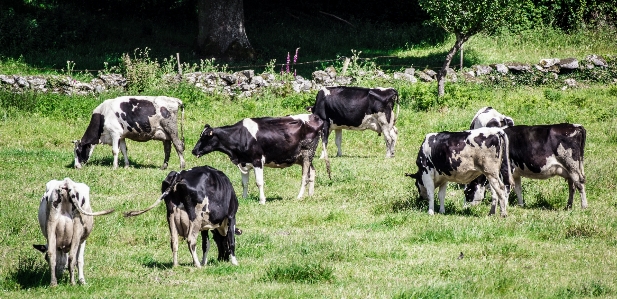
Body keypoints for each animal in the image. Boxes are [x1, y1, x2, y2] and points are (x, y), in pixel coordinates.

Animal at [192, 113, 330, 205]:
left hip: (307, 153)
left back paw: (299, 196)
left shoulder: (257, 160)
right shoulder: (244, 162)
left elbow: (259, 182)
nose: (193, 151)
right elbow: (244, 183)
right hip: (302, 157)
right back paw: (310, 194)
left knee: (305, 176)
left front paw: (262, 200)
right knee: (312, 172)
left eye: (205, 137)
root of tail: (316, 117)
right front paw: (244, 198)